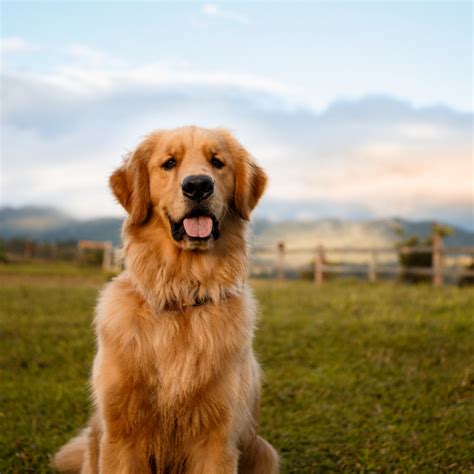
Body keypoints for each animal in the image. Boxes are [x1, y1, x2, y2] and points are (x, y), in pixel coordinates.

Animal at [52, 124, 278, 472]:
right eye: (169, 163)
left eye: (217, 162)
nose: (198, 185)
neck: (181, 294)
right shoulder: (121, 437)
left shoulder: (218, 439)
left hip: (264, 451)